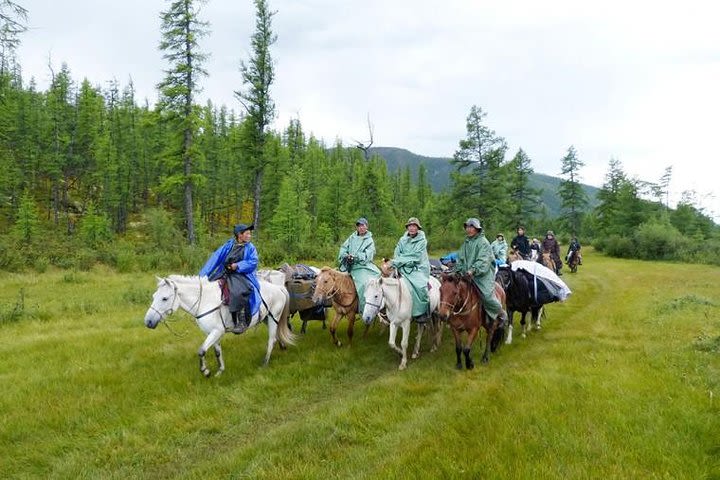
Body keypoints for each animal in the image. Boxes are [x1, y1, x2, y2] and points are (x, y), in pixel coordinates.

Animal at [143, 276, 296, 376]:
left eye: (164, 298)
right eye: (154, 296)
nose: (148, 321)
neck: (205, 301)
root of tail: (279, 287)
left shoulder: (217, 331)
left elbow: (201, 350)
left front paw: (205, 371)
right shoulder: (212, 333)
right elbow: (217, 351)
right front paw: (220, 371)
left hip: (273, 317)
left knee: (271, 340)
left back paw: (264, 363)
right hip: (266, 319)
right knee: (277, 335)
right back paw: (282, 347)